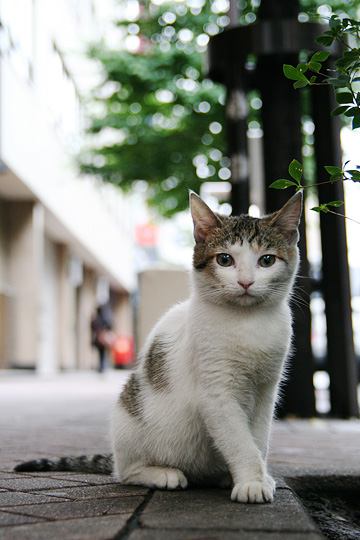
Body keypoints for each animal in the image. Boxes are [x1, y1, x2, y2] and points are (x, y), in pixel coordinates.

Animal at [14, 192, 300, 504]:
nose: (245, 282)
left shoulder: (266, 390)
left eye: (267, 260)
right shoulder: (217, 392)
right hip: (129, 421)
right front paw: (251, 481)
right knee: (124, 471)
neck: (248, 322)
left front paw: (258, 476)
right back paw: (163, 473)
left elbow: (258, 438)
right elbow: (239, 441)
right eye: (225, 259)